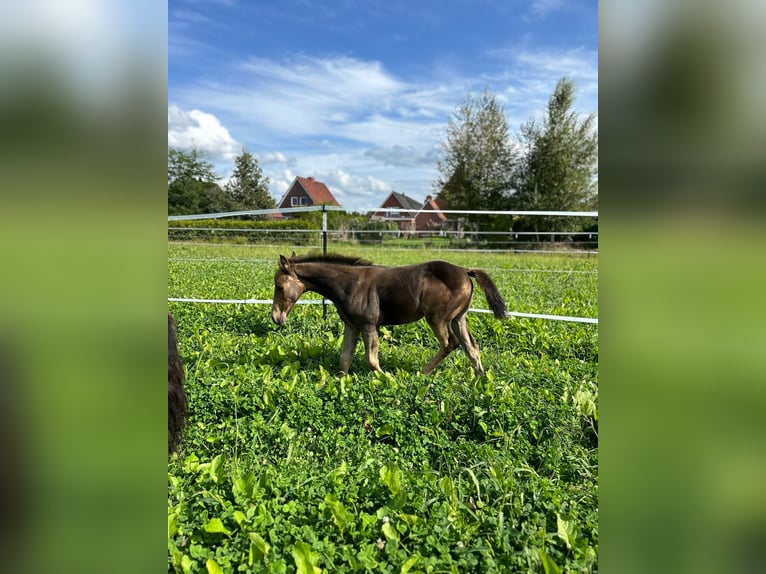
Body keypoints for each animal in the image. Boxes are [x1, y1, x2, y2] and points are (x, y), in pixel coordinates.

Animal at [272, 256, 510, 378]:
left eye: (280, 286)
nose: (276, 317)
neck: (349, 285)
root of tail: (465, 271)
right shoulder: (352, 326)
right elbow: (344, 359)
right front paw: (339, 384)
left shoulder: (369, 326)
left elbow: (371, 360)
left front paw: (388, 379)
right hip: (458, 318)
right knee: (471, 345)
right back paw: (480, 379)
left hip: (438, 318)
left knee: (450, 343)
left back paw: (422, 373)